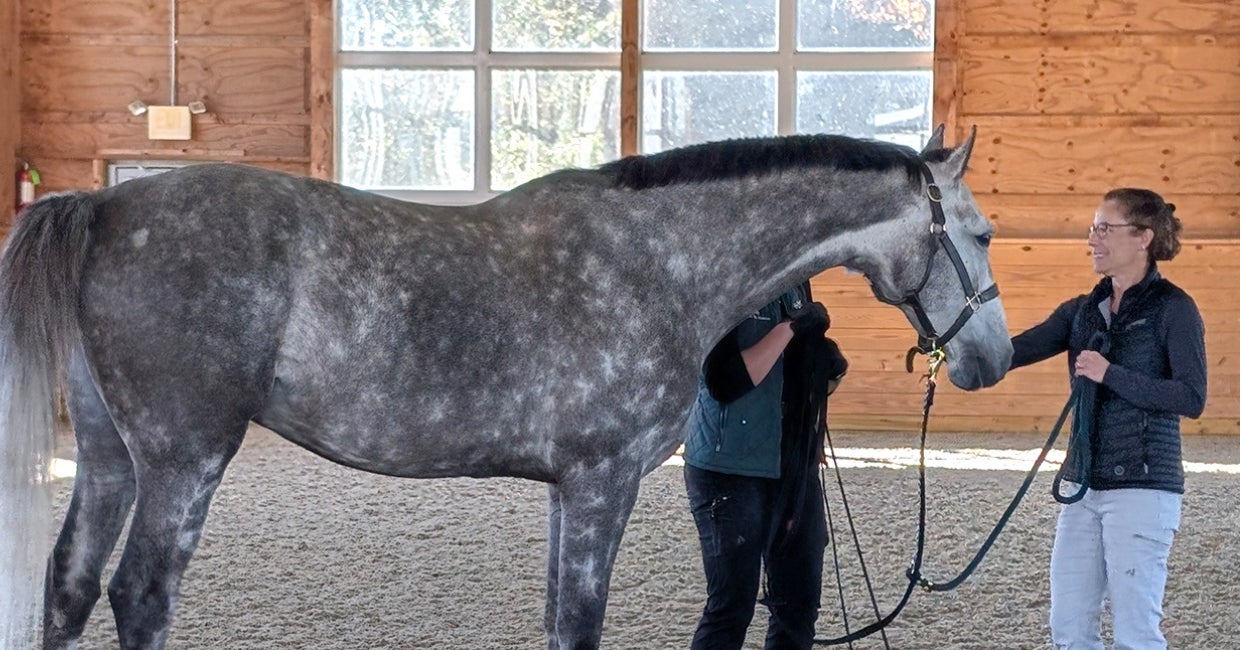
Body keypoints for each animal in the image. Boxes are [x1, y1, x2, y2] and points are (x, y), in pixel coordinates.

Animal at [0, 126, 1011, 650]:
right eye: (983, 232)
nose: (992, 362)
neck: (661, 263)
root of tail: (104, 204)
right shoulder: (603, 483)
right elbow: (582, 624)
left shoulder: (569, 490)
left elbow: (560, 623)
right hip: (185, 458)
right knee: (139, 593)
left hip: (111, 458)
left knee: (70, 581)